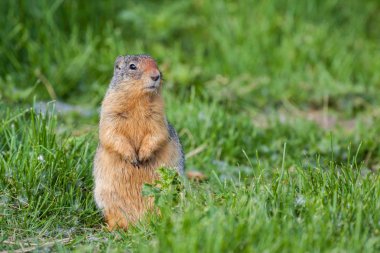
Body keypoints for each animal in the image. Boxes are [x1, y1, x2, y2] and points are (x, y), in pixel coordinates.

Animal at [94, 54, 185, 230]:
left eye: (156, 63)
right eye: (132, 66)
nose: (156, 75)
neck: (139, 100)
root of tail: (138, 224)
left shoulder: (158, 115)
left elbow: (157, 133)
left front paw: (142, 156)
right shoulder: (109, 110)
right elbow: (111, 133)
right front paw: (132, 158)